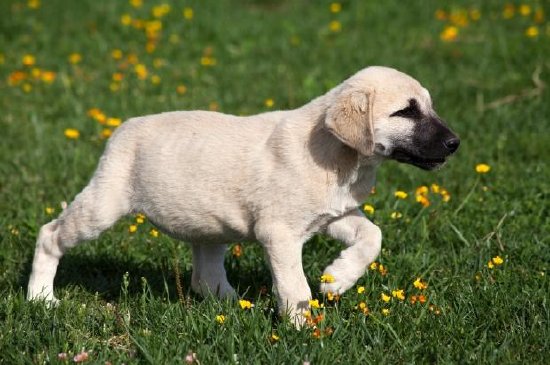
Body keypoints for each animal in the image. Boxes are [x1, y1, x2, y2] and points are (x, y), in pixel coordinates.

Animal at [29, 67, 462, 326]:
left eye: (428, 107)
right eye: (406, 112)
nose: (455, 143)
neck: (340, 155)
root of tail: (123, 127)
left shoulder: (334, 215)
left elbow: (372, 237)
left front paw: (338, 280)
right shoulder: (279, 233)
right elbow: (294, 288)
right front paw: (303, 329)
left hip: (207, 225)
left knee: (205, 277)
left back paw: (233, 305)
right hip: (103, 203)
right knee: (50, 235)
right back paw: (40, 298)